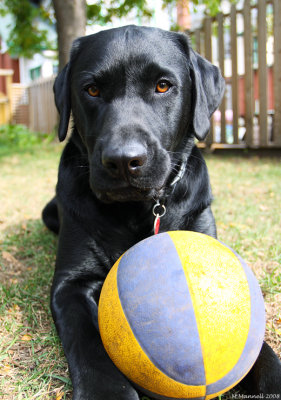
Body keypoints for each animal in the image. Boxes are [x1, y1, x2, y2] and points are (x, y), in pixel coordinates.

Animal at [42, 25, 278, 400]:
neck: (139, 209)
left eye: (163, 85)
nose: (124, 160)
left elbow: (261, 350)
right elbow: (88, 341)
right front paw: (106, 392)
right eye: (91, 89)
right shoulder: (70, 284)